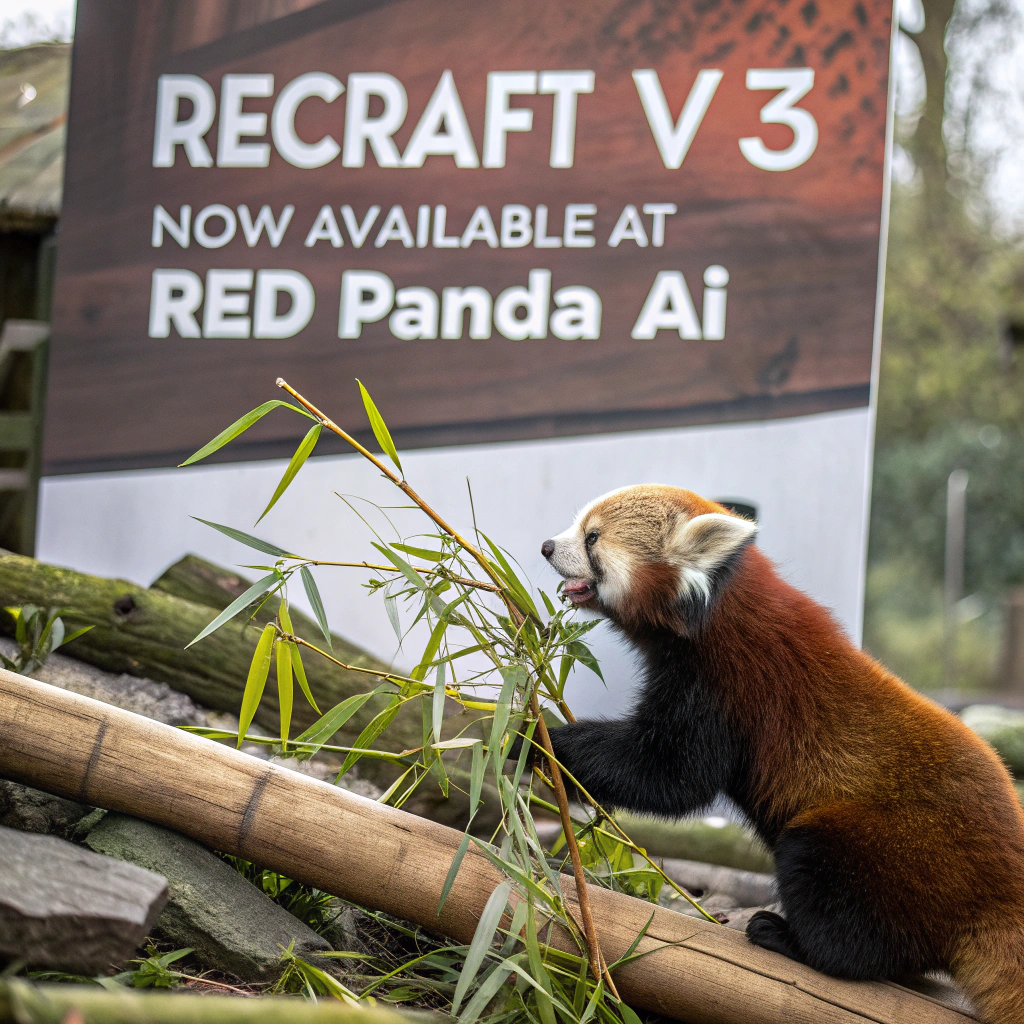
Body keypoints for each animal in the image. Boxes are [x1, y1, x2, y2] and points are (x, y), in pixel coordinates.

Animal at [539, 484, 1024, 1024]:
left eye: (592, 538)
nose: (546, 546)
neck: (718, 608)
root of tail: (1002, 888)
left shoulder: (727, 685)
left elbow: (672, 776)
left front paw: (537, 737)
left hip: (895, 849)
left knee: (826, 880)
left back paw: (793, 940)